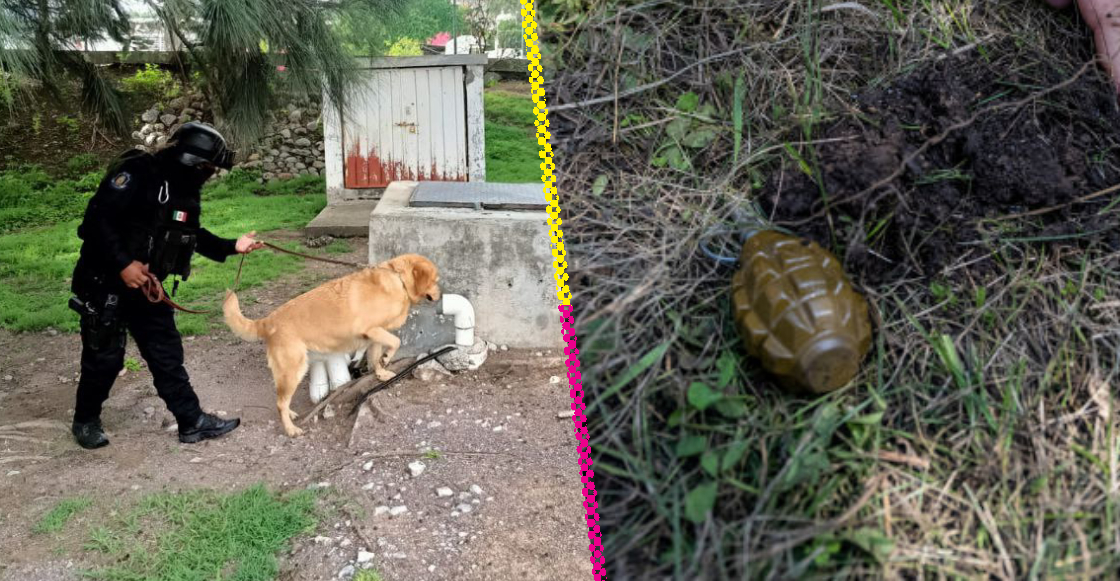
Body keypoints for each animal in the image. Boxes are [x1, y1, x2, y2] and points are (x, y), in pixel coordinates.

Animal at [220, 255, 439, 436]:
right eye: (436, 280)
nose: (440, 294)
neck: (398, 279)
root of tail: (268, 321)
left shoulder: (374, 336)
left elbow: (376, 357)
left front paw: (381, 372)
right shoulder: (371, 329)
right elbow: (396, 341)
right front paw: (386, 359)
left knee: (281, 400)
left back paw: (290, 414)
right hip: (293, 369)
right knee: (280, 403)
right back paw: (291, 430)